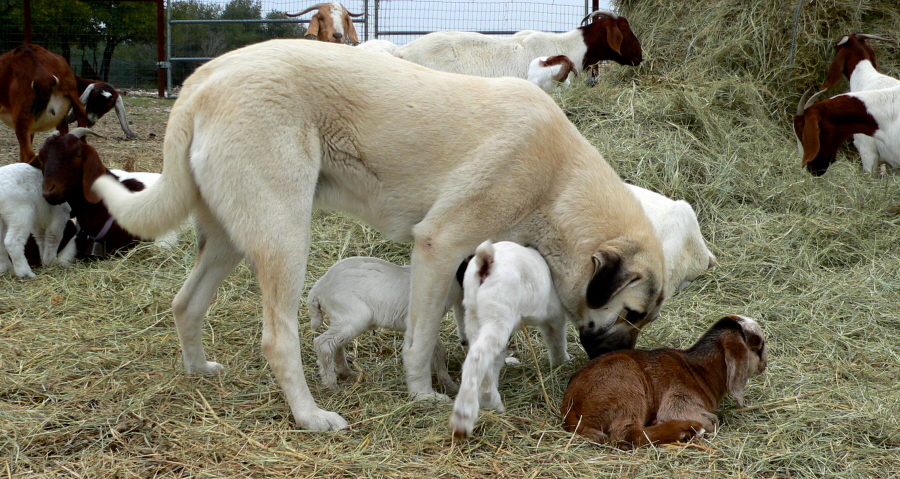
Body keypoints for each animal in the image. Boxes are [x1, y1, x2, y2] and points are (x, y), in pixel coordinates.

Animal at [310, 256, 464, 392]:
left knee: (336, 345)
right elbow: (435, 349)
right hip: (352, 316)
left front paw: (448, 384)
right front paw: (449, 384)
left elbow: (437, 350)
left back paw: (346, 373)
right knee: (323, 343)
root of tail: (318, 287)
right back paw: (332, 386)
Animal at [450, 240, 568, 438]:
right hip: (497, 311)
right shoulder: (554, 315)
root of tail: (486, 262)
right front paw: (561, 362)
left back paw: (490, 401)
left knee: (481, 356)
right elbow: (556, 339)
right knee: (478, 356)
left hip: (475, 314)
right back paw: (465, 416)